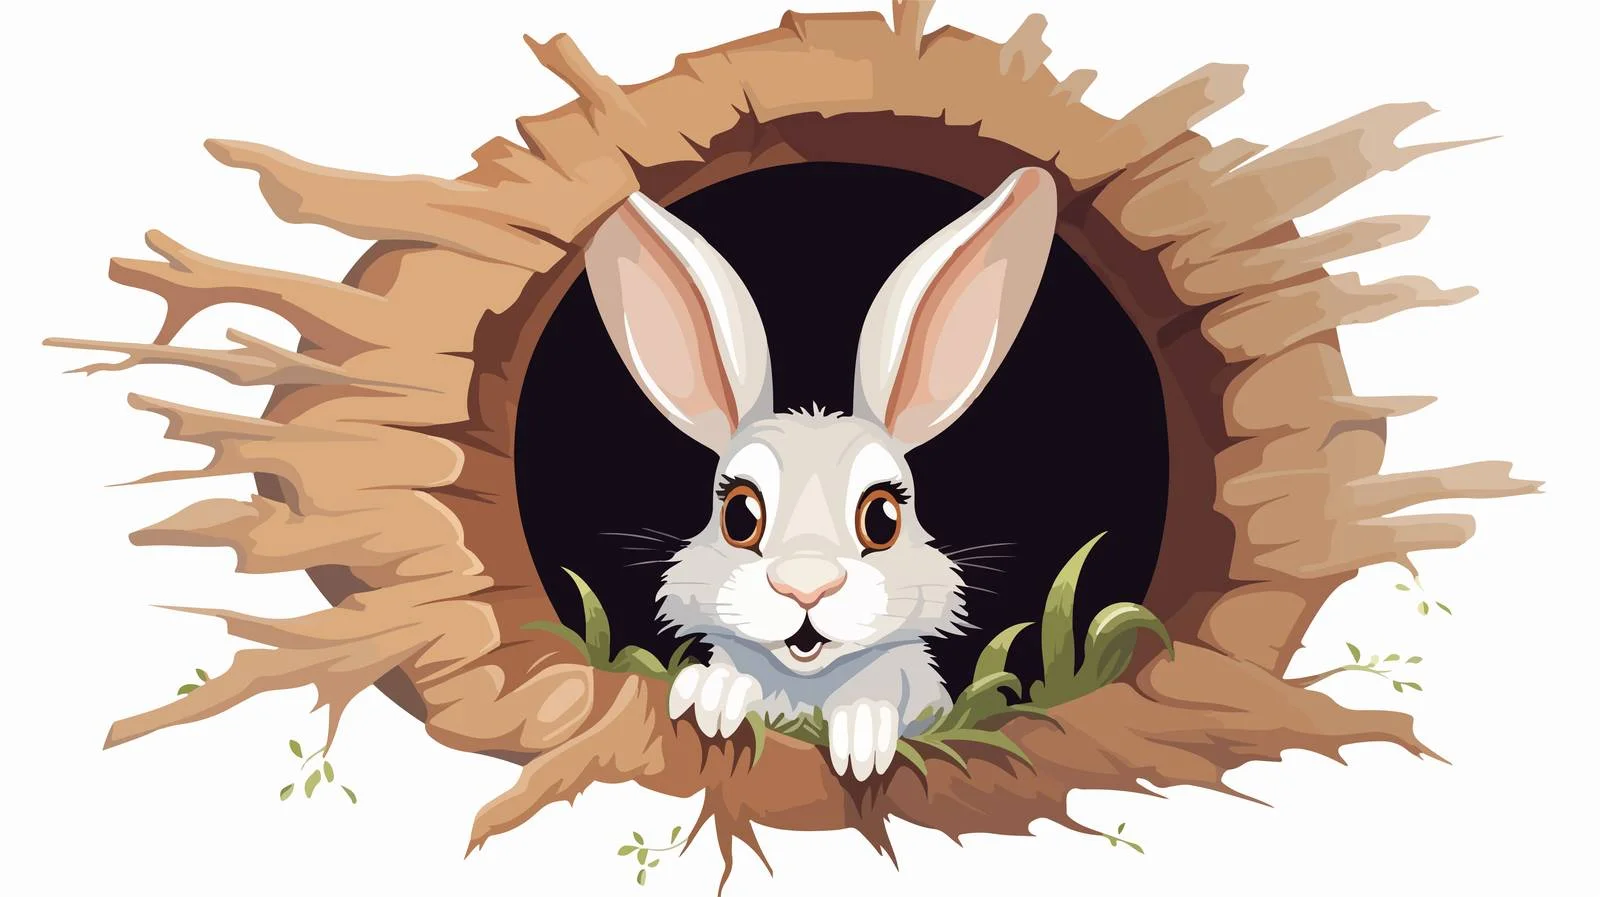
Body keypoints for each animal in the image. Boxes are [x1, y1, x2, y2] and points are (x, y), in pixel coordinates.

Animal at [582, 166, 1057, 780]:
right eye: (739, 517)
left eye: (882, 519)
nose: (805, 586)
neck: (806, 680)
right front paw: (713, 697)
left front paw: (863, 735)